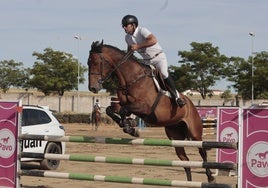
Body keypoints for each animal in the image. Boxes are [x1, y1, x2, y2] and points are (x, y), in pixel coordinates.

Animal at [87, 40, 215, 183]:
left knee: (202, 152)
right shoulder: (123, 104)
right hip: (175, 136)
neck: (131, 79)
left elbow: (125, 110)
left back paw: (210, 176)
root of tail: (191, 104)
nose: (92, 88)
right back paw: (188, 181)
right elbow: (111, 110)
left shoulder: (145, 107)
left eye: (96, 62)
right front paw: (129, 127)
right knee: (185, 161)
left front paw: (130, 126)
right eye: (88, 63)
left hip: (195, 133)